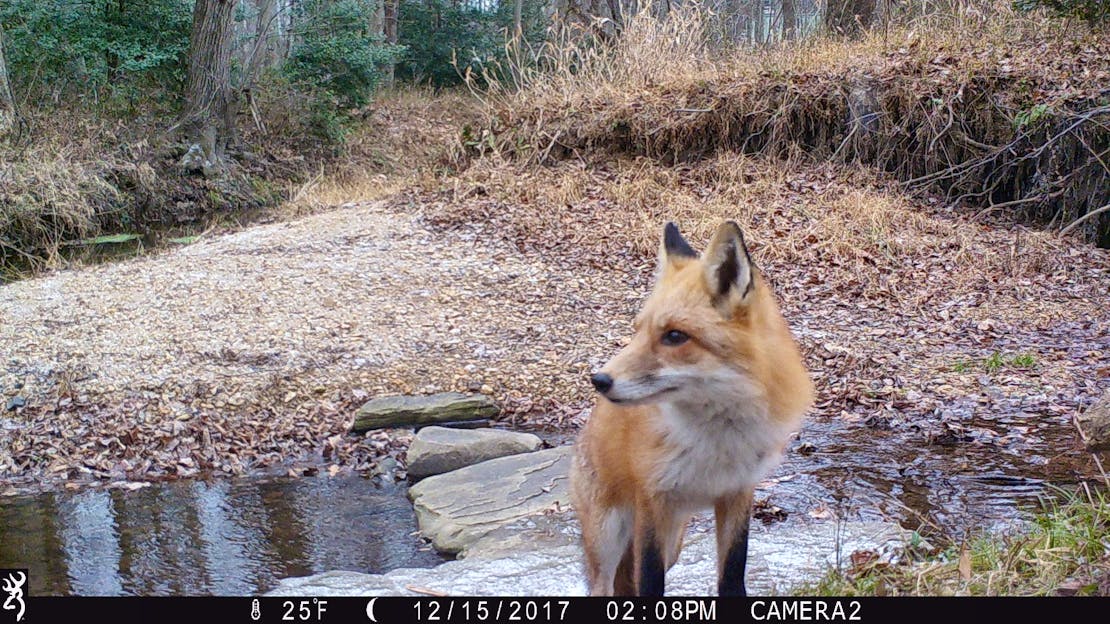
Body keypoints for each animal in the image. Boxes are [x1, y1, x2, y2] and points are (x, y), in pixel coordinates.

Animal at [568, 220, 812, 595]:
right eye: (638, 331)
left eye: (674, 336)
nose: (600, 380)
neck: (716, 439)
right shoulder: (652, 500)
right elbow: (650, 583)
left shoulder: (737, 494)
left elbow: (732, 574)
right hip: (609, 538)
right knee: (605, 585)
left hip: (674, 542)